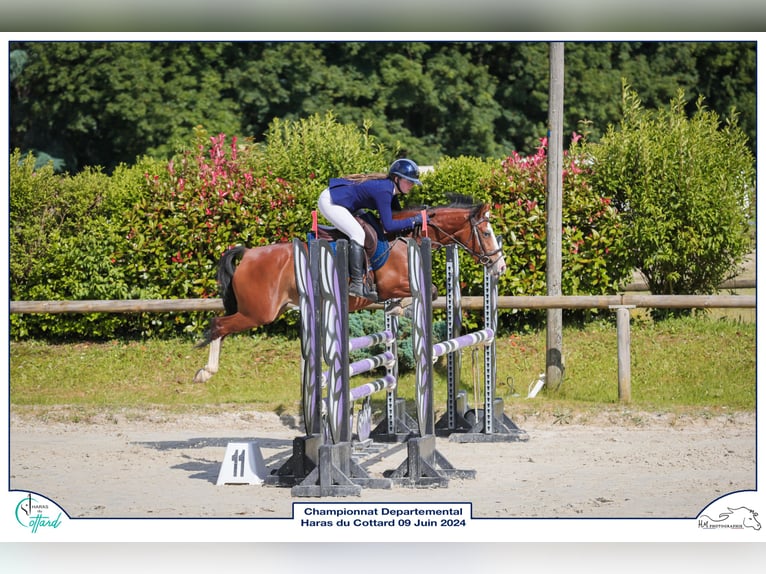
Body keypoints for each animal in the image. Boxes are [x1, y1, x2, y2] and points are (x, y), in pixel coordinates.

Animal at [195, 196, 510, 384]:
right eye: (486, 233)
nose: (500, 266)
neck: (403, 237)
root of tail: (248, 254)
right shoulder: (391, 283)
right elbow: (428, 292)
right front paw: (402, 310)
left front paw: (399, 311)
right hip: (259, 313)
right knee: (218, 324)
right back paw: (205, 372)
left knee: (221, 326)